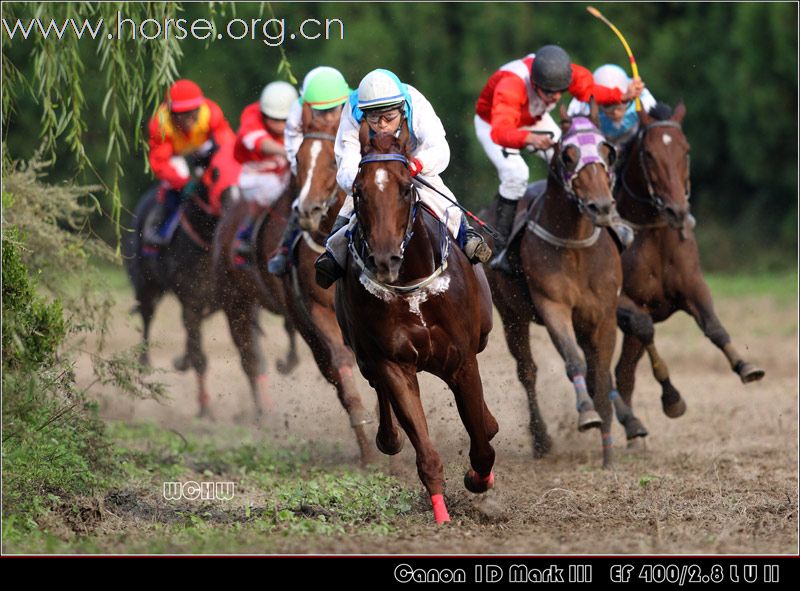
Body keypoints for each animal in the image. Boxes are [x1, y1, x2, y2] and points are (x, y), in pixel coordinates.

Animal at [278, 105, 378, 468]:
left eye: (333, 163)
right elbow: (342, 364)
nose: (307, 210)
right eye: (299, 159)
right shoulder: (317, 310)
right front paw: (369, 449)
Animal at [334, 120, 496, 524]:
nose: (384, 258)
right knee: (376, 389)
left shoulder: (462, 360)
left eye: (407, 186)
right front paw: (441, 515)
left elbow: (482, 443)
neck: (412, 285)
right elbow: (425, 453)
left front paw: (478, 479)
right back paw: (388, 438)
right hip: (365, 354)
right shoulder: (393, 363)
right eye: (357, 192)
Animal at [482, 105, 644, 468]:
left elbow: (602, 372)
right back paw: (541, 438)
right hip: (511, 315)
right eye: (568, 156)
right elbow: (574, 362)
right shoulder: (553, 306)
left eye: (608, 152)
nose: (601, 207)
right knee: (527, 371)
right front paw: (588, 414)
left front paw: (608, 450)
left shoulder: (603, 314)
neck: (575, 244)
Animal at [616, 104, 764, 424]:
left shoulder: (693, 285)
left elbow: (713, 325)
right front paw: (672, 398)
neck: (654, 232)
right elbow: (644, 328)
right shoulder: (626, 303)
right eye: (648, 153)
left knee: (623, 373)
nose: (677, 211)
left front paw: (745, 366)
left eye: (686, 150)